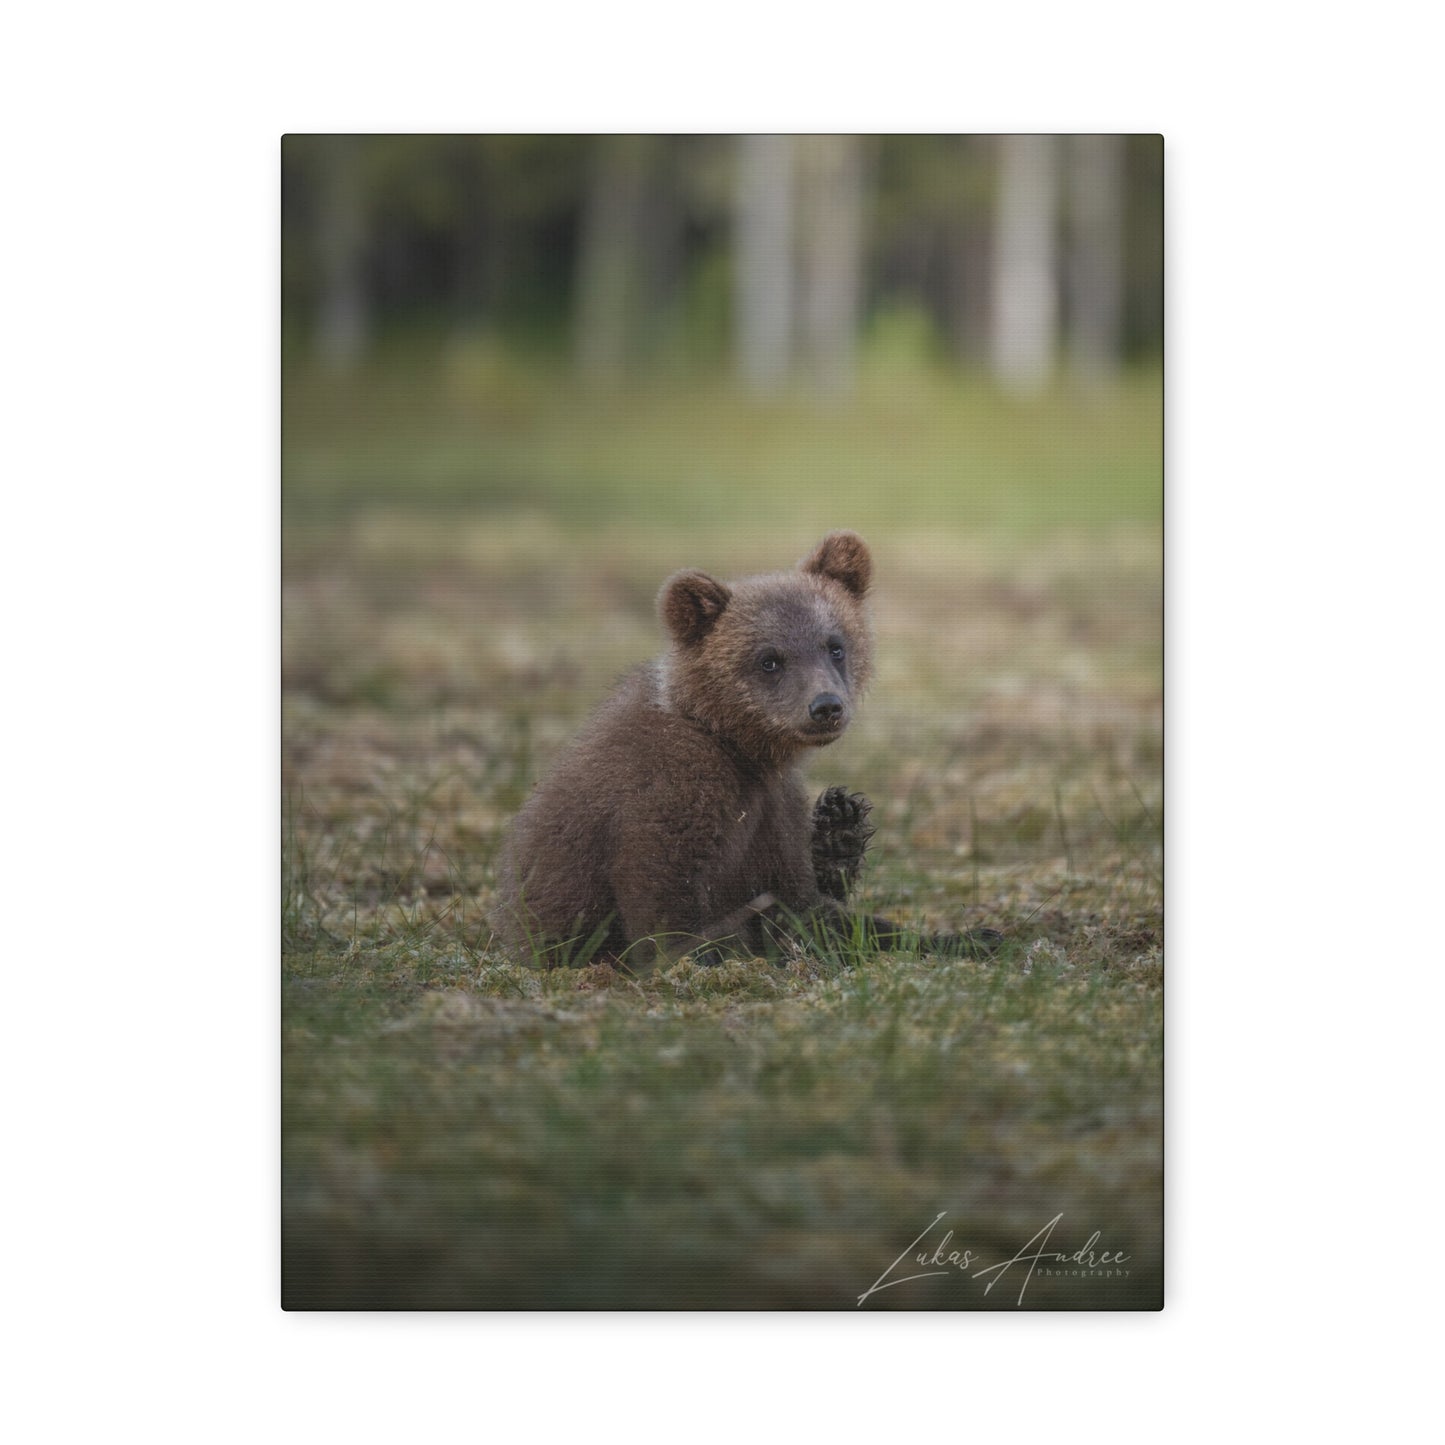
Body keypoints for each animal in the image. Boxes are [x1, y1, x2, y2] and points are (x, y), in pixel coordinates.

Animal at [494, 531, 1000, 968]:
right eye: (769, 659)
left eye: (835, 645)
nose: (826, 706)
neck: (739, 747)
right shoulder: (674, 787)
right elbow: (666, 899)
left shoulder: (774, 808)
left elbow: (802, 894)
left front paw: (843, 831)